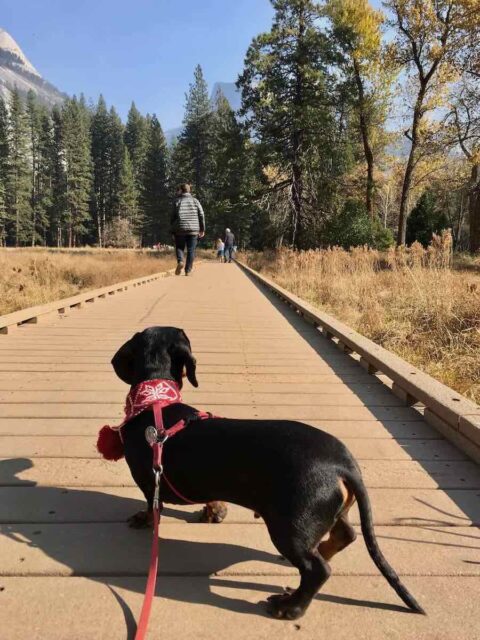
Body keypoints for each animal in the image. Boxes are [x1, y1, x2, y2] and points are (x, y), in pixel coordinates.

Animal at [111, 328, 424, 616]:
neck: (155, 402)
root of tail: (344, 465)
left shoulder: (150, 481)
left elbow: (153, 506)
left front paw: (144, 519)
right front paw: (214, 512)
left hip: (290, 527)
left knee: (318, 570)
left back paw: (290, 606)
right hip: (329, 512)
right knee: (345, 535)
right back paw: (320, 552)